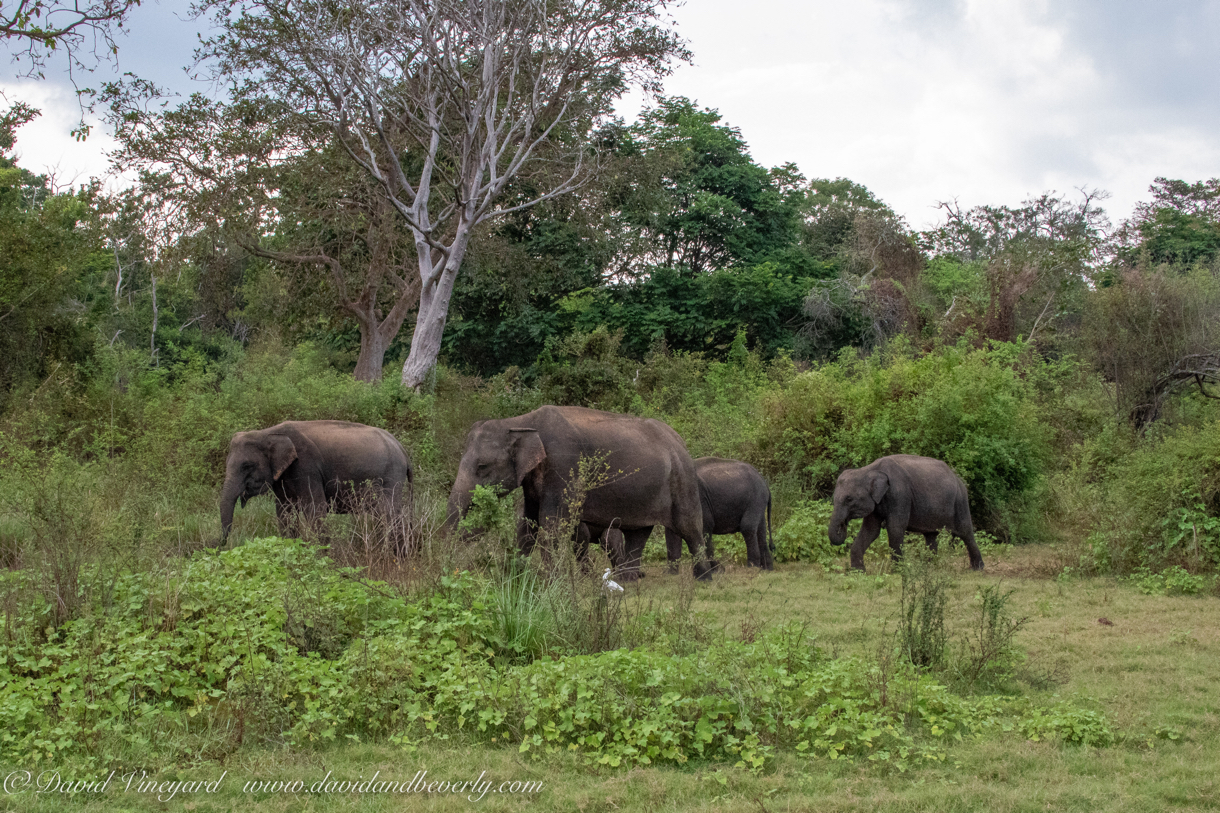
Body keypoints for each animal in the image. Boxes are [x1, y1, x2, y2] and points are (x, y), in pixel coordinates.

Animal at [217, 419, 412, 546]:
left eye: (246, 466)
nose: (218, 545)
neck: (266, 433)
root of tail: (402, 449)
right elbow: (285, 512)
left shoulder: (306, 467)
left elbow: (315, 508)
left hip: (391, 476)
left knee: (389, 513)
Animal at [444, 402, 712, 576]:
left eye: (482, 466)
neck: (520, 422)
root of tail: (679, 439)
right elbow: (528, 524)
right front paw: (515, 577)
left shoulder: (565, 465)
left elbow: (551, 523)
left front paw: (553, 581)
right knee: (638, 532)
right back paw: (627, 579)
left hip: (682, 477)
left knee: (689, 526)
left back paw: (703, 577)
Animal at [824, 449, 985, 568]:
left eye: (849, 499)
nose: (843, 524)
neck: (869, 469)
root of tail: (957, 477)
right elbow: (871, 530)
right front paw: (858, 572)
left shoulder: (899, 495)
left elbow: (895, 528)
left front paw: (897, 571)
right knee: (931, 535)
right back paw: (929, 567)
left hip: (960, 500)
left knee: (965, 532)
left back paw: (977, 568)